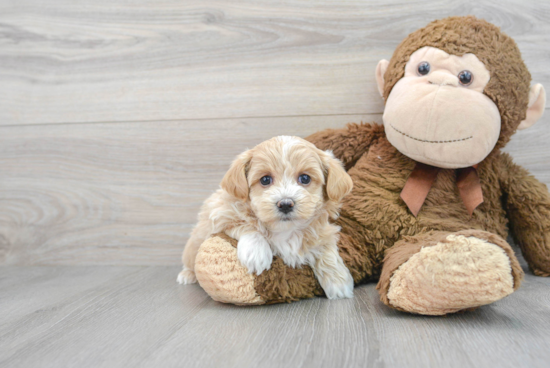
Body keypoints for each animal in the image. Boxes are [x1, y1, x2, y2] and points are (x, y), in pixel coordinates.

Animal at [179, 135, 356, 300]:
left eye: (305, 178)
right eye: (265, 179)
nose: (285, 204)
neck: (285, 230)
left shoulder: (322, 231)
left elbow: (326, 248)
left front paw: (339, 282)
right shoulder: (220, 215)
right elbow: (245, 224)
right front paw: (256, 253)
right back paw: (187, 275)